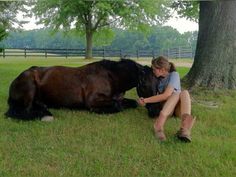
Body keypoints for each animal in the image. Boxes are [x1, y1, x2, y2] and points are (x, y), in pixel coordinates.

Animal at [5, 58, 162, 121]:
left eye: (159, 83)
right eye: (144, 85)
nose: (156, 112)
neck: (111, 76)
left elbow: (130, 103)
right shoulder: (93, 100)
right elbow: (116, 106)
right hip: (30, 87)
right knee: (24, 111)